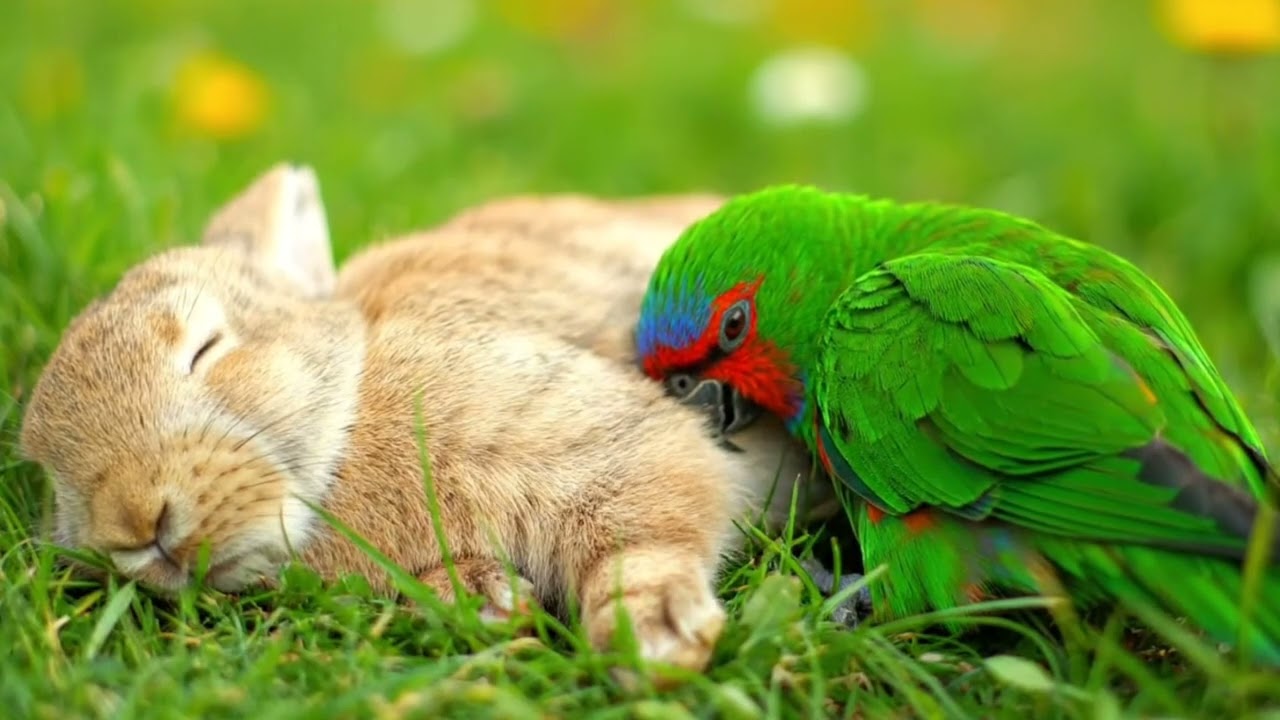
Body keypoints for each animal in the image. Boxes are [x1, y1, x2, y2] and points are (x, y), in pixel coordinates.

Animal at [17, 163, 820, 677]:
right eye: (53, 479)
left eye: (205, 350)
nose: (131, 526)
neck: (349, 410)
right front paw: (483, 599)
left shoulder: (605, 439)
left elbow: (652, 524)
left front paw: (652, 635)